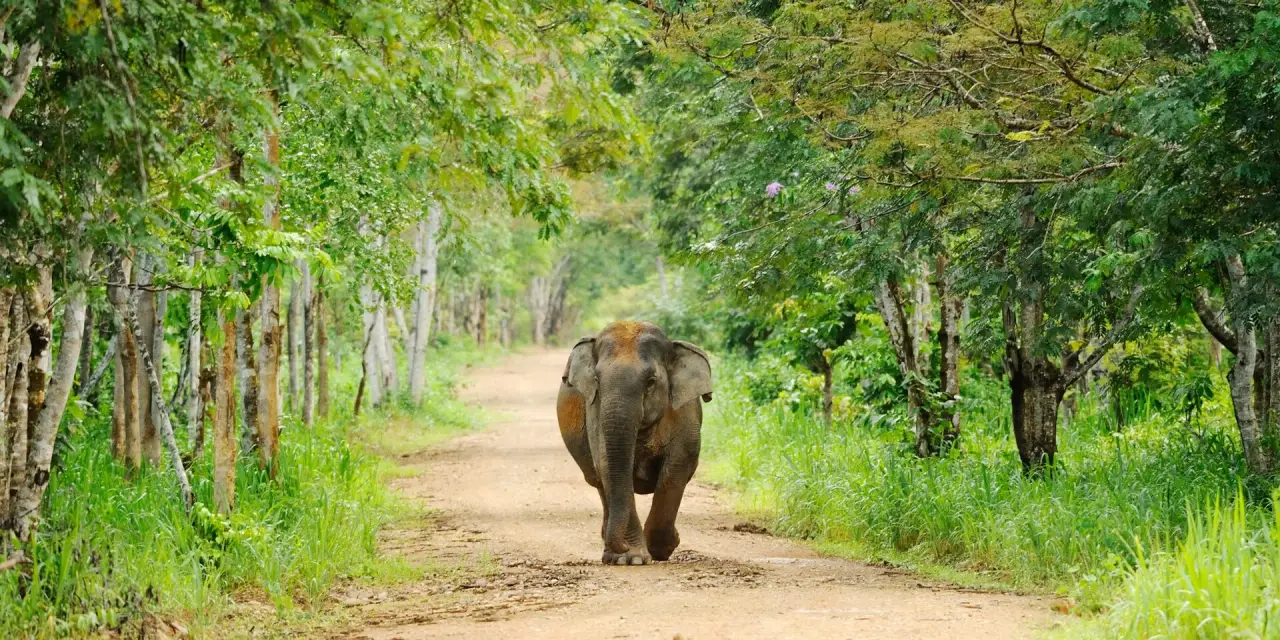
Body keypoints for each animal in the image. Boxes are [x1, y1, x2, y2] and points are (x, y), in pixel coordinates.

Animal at [556, 321, 713, 565]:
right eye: (597, 381)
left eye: (651, 383)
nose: (620, 545)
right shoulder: (595, 412)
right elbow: (609, 466)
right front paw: (630, 558)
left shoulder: (684, 413)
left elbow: (675, 469)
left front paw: (661, 549)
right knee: (600, 483)